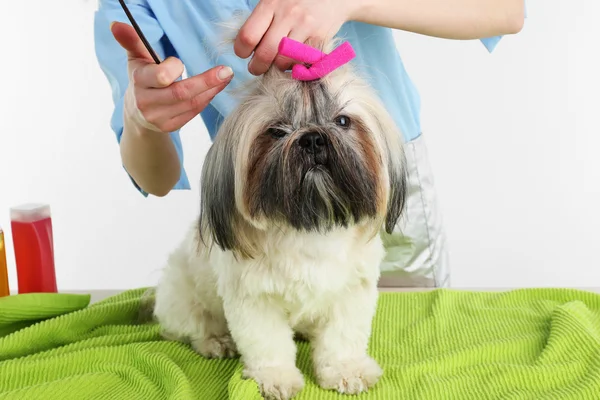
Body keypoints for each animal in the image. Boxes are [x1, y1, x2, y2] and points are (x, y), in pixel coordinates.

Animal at [151, 27, 408, 396]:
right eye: (276, 130)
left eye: (343, 121)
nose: (313, 138)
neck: (309, 225)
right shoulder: (255, 301)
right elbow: (268, 344)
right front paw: (276, 378)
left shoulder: (350, 294)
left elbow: (342, 338)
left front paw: (346, 369)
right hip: (182, 297)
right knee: (192, 326)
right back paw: (215, 341)